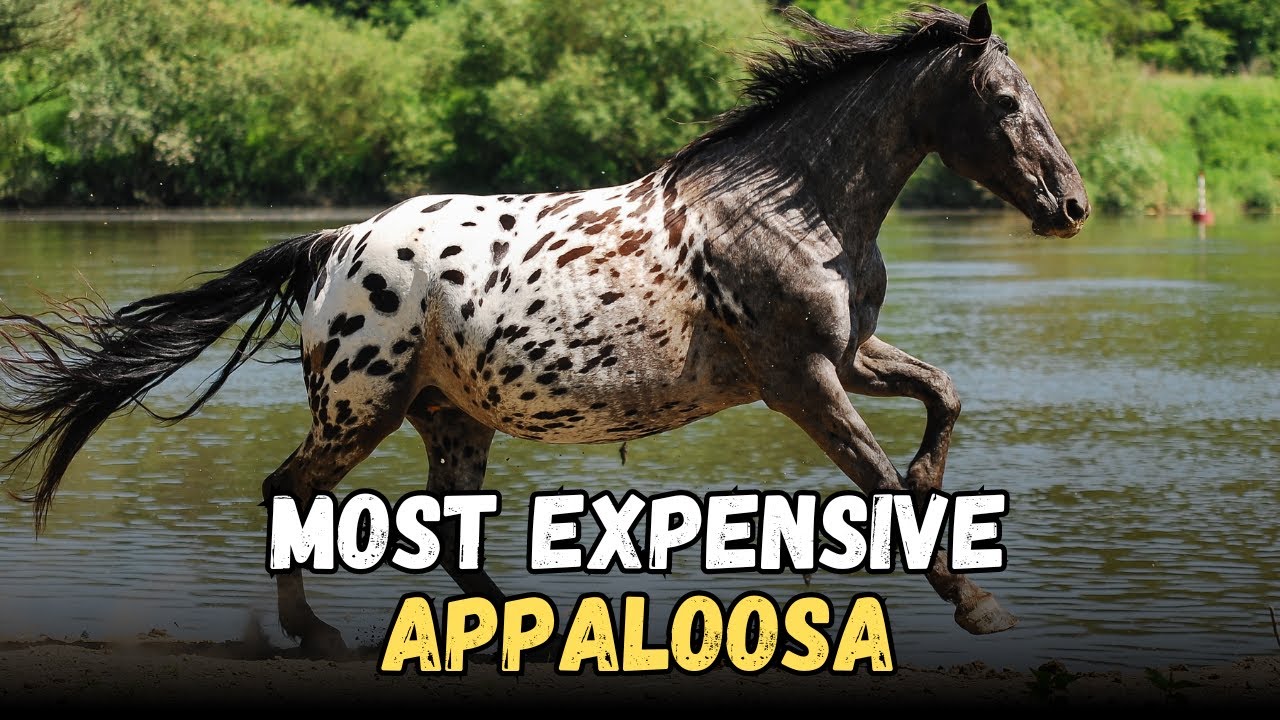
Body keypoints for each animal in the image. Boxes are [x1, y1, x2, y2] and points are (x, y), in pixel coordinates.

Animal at [0, 4, 1087, 656]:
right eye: (1003, 101)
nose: (1070, 205)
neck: (790, 207)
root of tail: (334, 244)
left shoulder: (847, 357)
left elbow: (943, 396)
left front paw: (937, 489)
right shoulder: (801, 381)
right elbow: (885, 489)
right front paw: (978, 602)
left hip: (450, 416)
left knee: (446, 534)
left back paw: (535, 635)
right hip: (361, 406)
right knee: (289, 493)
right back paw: (319, 637)